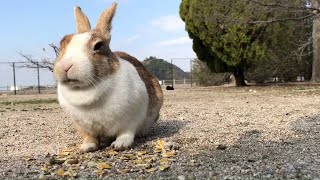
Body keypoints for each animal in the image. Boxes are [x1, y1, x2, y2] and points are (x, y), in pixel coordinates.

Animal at [53, 2, 162, 152]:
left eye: (98, 45)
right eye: (62, 43)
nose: (65, 66)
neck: (85, 89)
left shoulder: (131, 120)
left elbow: (126, 132)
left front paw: (120, 144)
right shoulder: (83, 127)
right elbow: (89, 136)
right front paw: (87, 147)